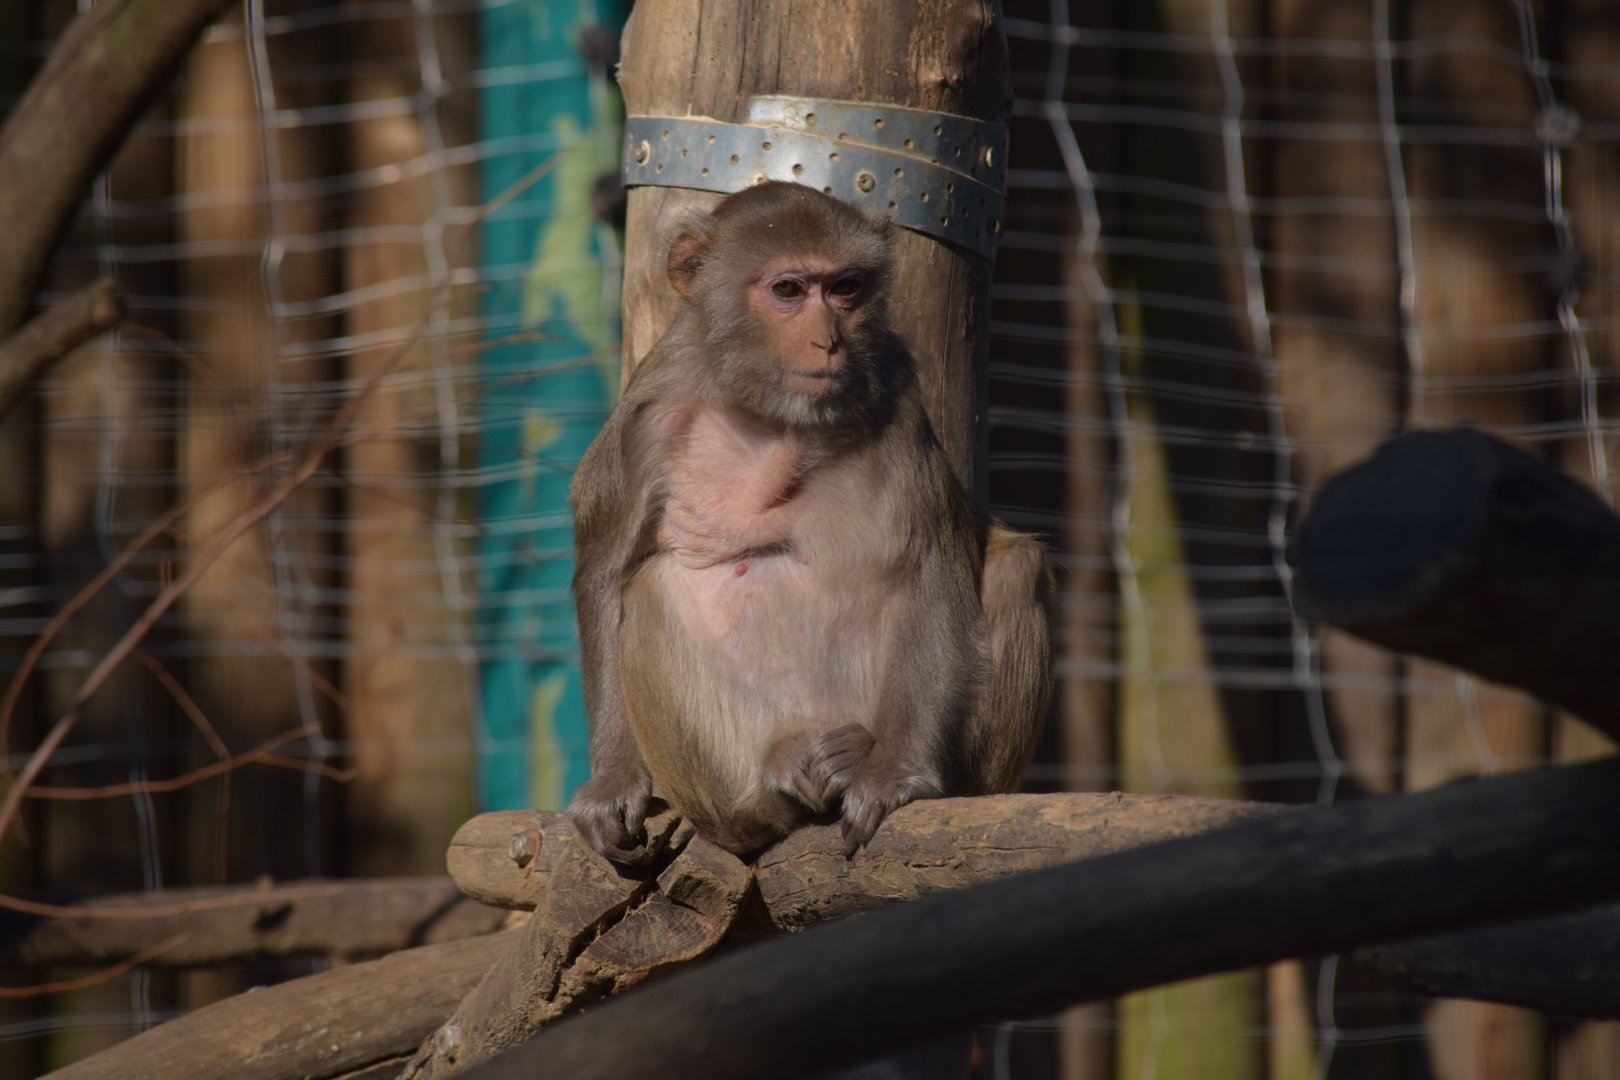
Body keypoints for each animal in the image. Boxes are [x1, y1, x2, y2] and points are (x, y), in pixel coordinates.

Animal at [566, 181, 1052, 864]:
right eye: (789, 290)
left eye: (846, 287)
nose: (829, 340)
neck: (770, 412)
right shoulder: (646, 417)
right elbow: (607, 575)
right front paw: (612, 781)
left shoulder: (898, 393)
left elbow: (929, 569)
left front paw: (896, 773)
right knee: (652, 587)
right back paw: (761, 803)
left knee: (1013, 567)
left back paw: (868, 763)